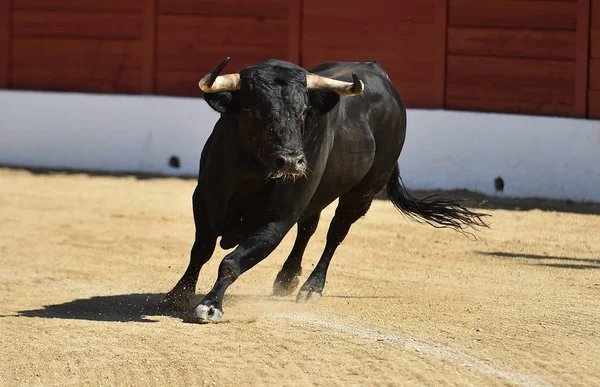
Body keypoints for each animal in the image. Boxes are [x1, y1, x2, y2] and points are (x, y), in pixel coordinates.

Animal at [162, 57, 490, 322]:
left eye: (304, 111)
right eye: (253, 112)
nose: (291, 161)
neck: (252, 172)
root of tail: (378, 71)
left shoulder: (278, 219)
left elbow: (232, 261)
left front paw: (211, 305)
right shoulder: (204, 199)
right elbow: (201, 250)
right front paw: (177, 294)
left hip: (363, 193)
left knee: (336, 232)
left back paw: (311, 288)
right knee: (308, 229)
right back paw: (286, 279)